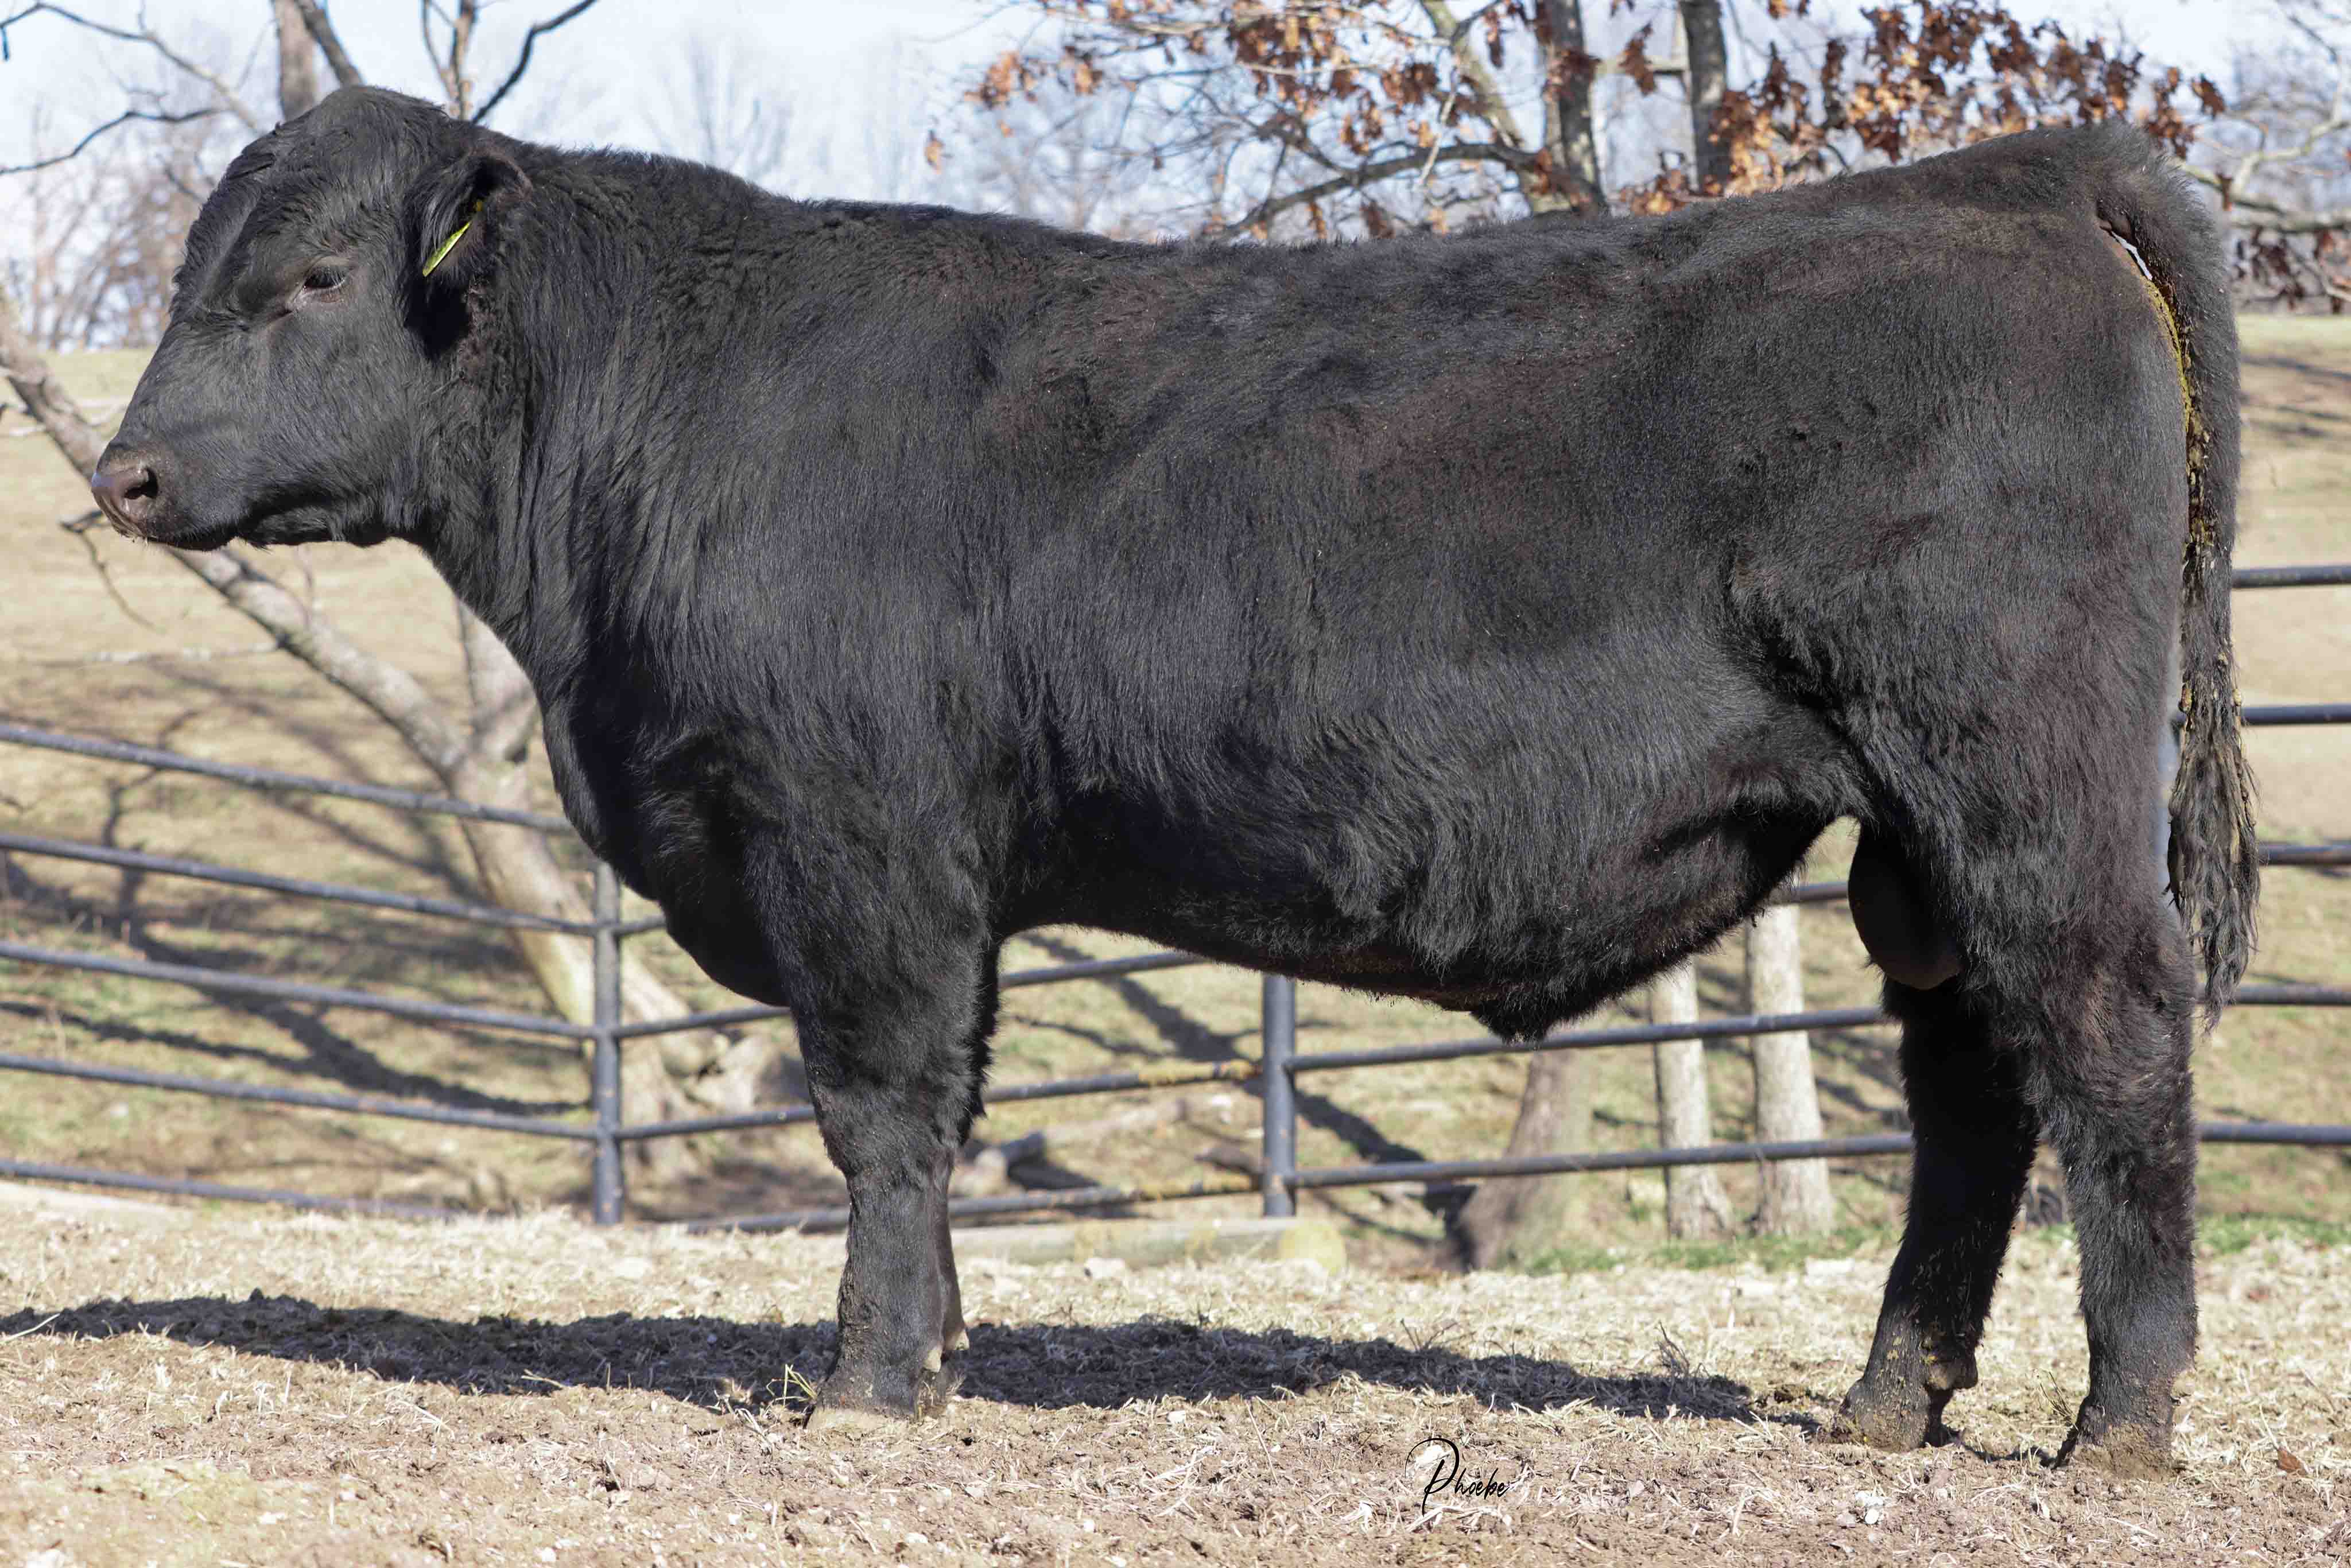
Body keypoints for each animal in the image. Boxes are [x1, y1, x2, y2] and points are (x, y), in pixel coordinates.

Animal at [90, 87, 2256, 1473]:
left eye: (306, 281)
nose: (122, 473)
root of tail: (2011, 176)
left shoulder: (855, 848)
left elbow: (880, 1115)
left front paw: (867, 1383)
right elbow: (935, 1119)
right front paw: (936, 1353)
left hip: (2019, 784)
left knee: (2108, 1037)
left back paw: (2123, 1426)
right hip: (1920, 840)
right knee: (1974, 1084)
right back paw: (1883, 1406)